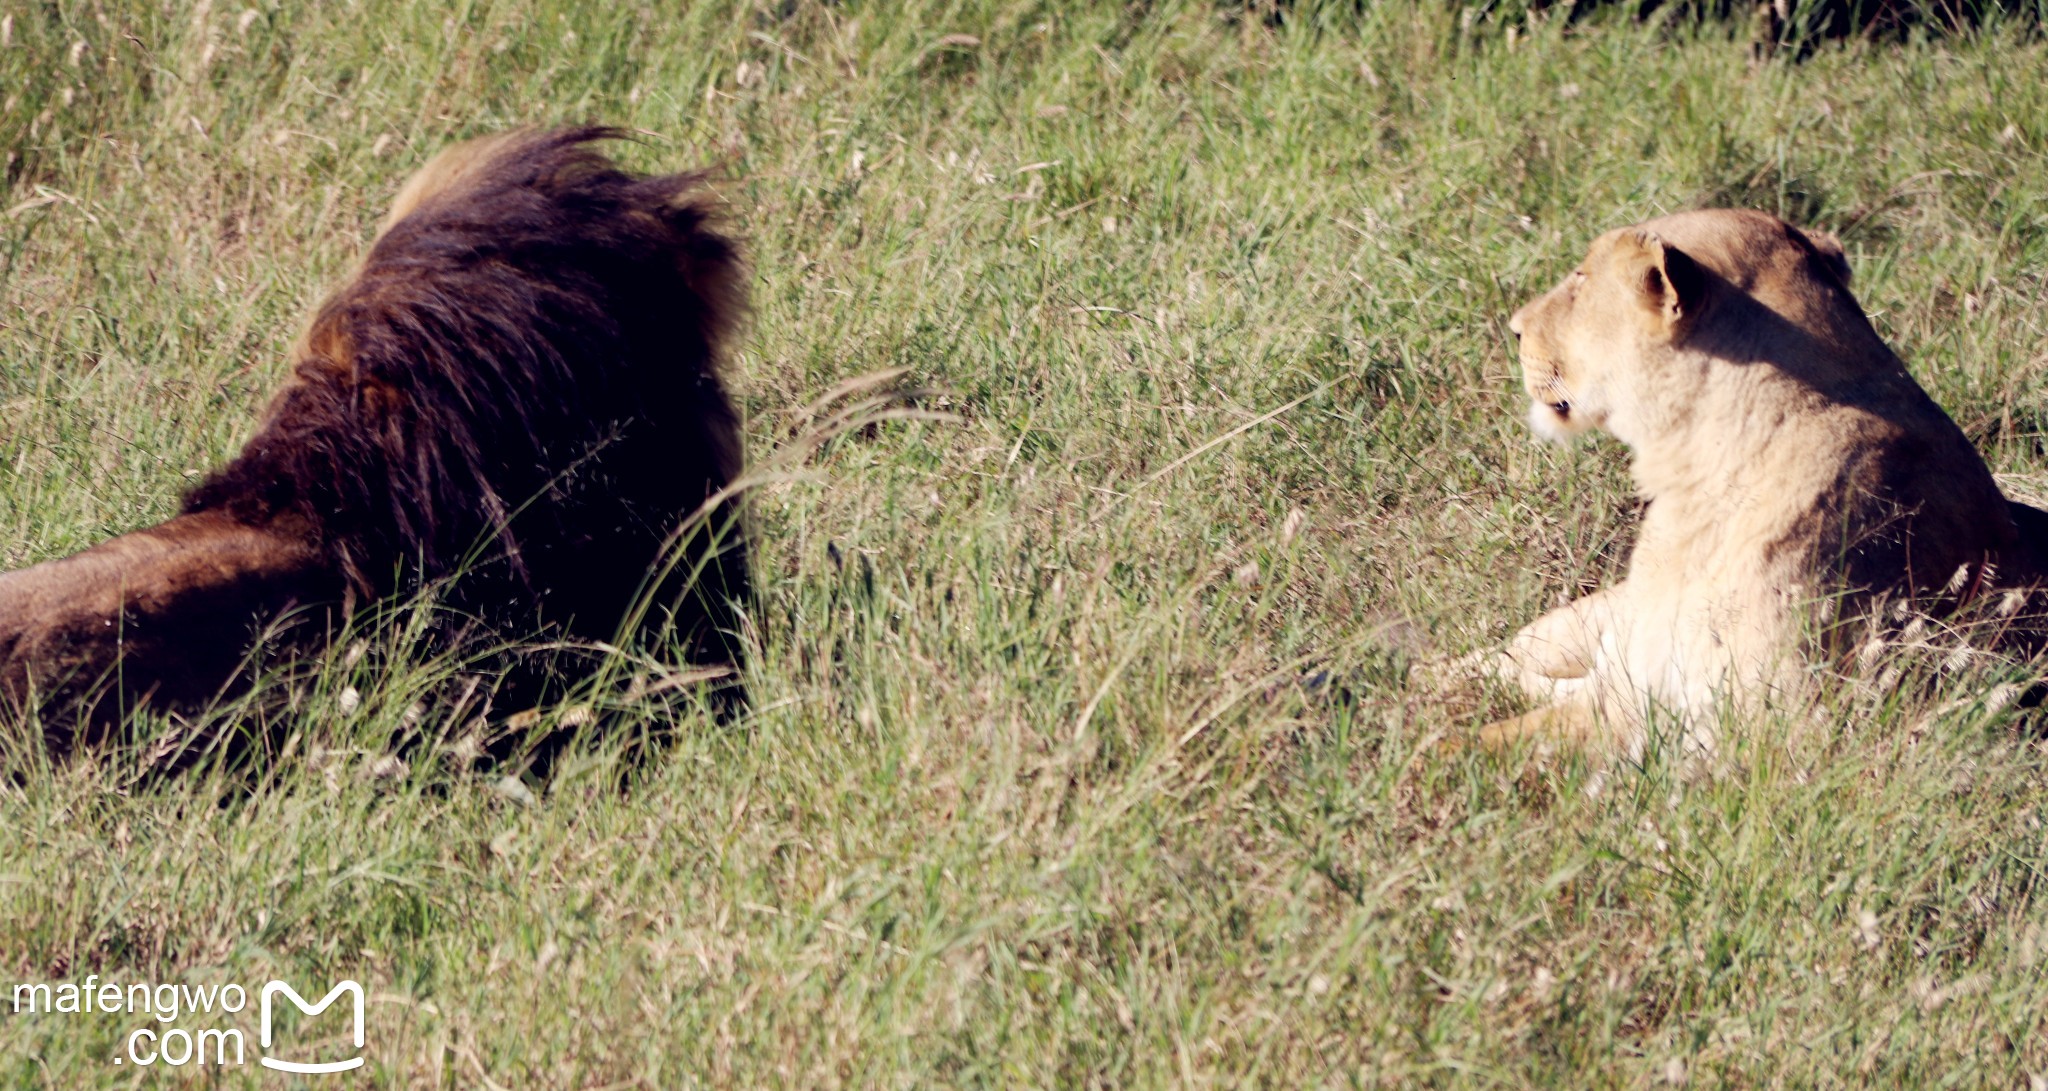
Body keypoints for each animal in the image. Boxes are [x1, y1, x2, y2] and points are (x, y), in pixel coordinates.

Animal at [1482, 206, 2048, 757]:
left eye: (1580, 280)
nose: (1514, 328)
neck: (1692, 474)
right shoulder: (1627, 684)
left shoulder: (1767, 730)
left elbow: (1491, 742)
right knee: (1500, 660)